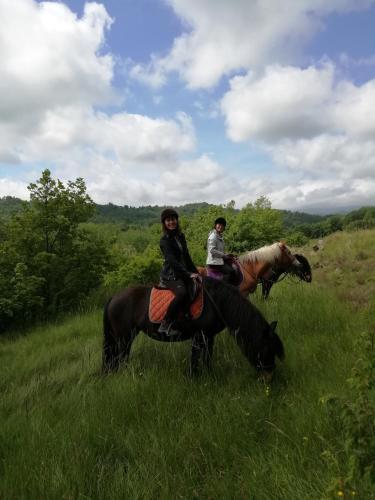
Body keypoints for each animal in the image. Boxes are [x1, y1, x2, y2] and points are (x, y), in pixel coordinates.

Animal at [103, 278, 284, 378]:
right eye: (268, 349)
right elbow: (195, 360)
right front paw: (194, 379)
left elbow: (207, 358)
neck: (216, 302)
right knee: (121, 358)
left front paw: (209, 376)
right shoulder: (198, 337)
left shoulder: (209, 336)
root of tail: (113, 297)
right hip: (124, 338)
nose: (270, 377)